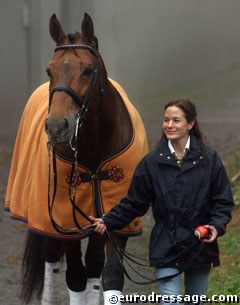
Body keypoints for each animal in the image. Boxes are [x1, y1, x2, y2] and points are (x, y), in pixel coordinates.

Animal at [4, 11, 148, 304]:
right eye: (50, 70)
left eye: (88, 70)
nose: (57, 126)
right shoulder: (63, 220)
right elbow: (75, 277)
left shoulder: (118, 218)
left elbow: (108, 272)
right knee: (51, 258)